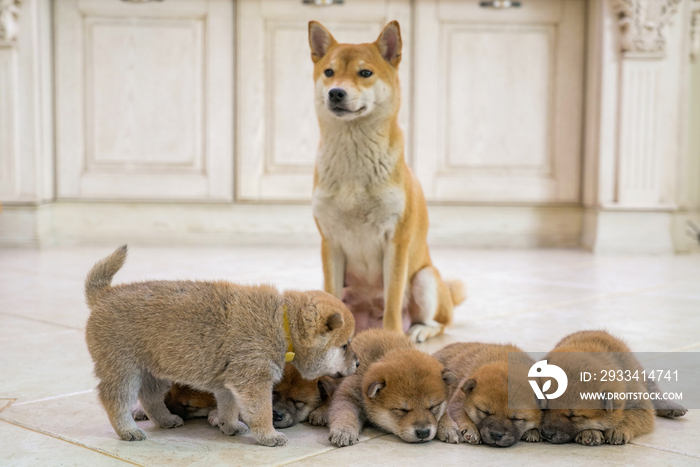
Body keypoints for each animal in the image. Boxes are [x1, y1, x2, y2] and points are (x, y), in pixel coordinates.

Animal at [308, 19, 464, 344]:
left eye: (365, 73)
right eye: (329, 72)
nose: (336, 93)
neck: (353, 156)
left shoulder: (396, 241)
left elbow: (392, 300)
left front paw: (393, 338)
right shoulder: (331, 242)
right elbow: (333, 294)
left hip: (424, 279)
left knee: (438, 321)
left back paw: (417, 331)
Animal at [326, 330, 456, 446]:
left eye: (433, 406)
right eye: (402, 410)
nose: (423, 433)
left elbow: (444, 413)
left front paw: (448, 426)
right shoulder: (348, 395)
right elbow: (346, 413)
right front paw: (343, 431)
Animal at [540, 330, 688, 446]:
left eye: (574, 416)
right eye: (544, 407)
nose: (546, 434)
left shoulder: (640, 403)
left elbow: (630, 416)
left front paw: (617, 430)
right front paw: (590, 432)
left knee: (655, 393)